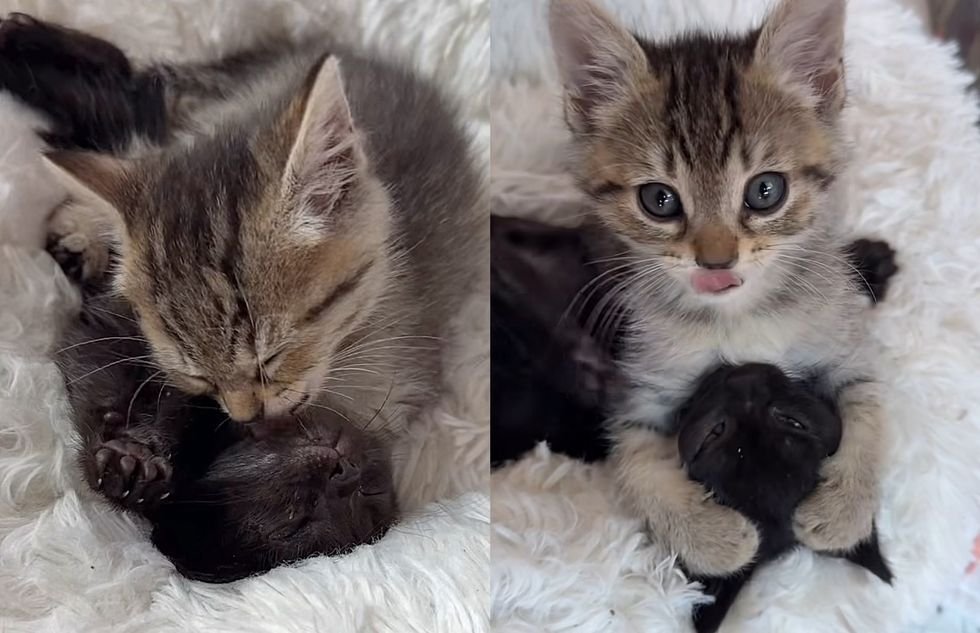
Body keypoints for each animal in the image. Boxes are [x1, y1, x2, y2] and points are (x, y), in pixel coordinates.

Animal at [552, 0, 888, 576]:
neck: (740, 314)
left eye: (766, 191)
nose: (716, 259)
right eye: (659, 200)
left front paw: (844, 510)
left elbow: (872, 412)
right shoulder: (640, 392)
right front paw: (710, 538)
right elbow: (637, 464)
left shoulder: (843, 345)